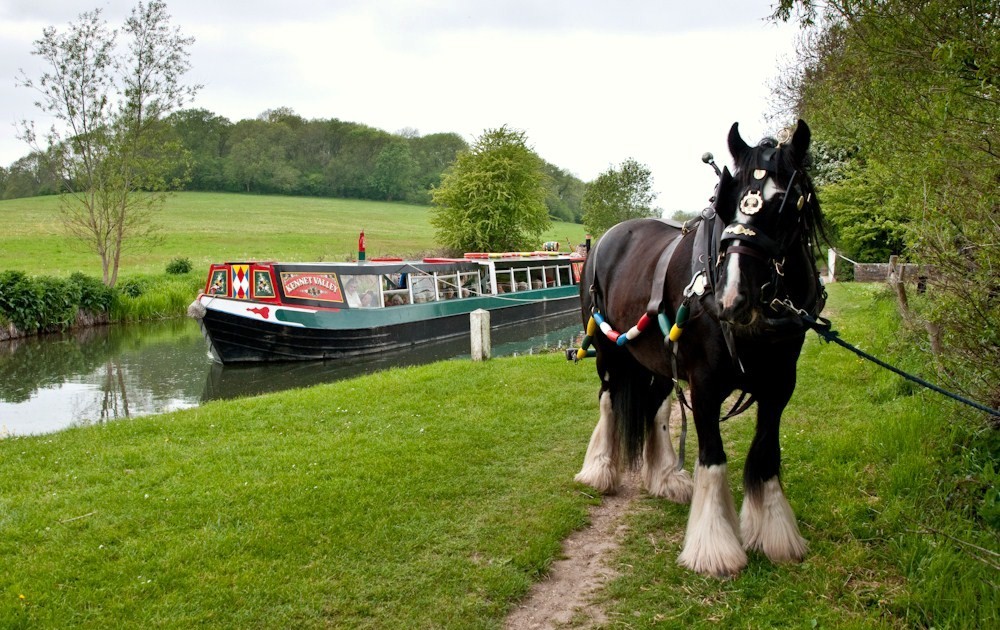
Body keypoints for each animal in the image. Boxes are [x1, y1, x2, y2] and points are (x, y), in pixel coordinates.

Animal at [574, 120, 826, 577]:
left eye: (785, 203)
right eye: (729, 197)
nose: (731, 300)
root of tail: (605, 237)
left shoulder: (780, 386)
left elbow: (766, 454)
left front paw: (775, 534)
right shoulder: (706, 385)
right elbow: (713, 456)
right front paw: (715, 547)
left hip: (656, 356)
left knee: (657, 405)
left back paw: (665, 478)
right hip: (609, 349)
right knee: (608, 399)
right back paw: (599, 470)